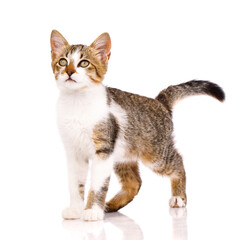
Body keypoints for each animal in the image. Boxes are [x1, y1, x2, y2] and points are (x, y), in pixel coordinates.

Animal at [49, 30, 224, 221]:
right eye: (63, 61)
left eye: (84, 63)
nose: (69, 71)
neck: (77, 103)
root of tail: (160, 102)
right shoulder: (74, 153)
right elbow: (75, 184)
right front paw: (76, 209)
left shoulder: (103, 151)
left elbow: (97, 185)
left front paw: (92, 210)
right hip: (123, 154)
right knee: (135, 182)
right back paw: (111, 205)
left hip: (156, 154)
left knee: (178, 161)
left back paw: (178, 197)